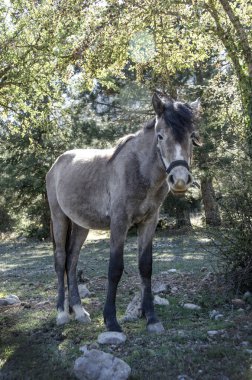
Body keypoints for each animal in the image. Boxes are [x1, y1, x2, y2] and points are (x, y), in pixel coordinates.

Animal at [46, 92, 201, 332]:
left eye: (192, 136)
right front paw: (111, 320)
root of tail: (56, 164)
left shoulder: (149, 222)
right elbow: (115, 269)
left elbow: (146, 267)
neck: (139, 169)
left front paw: (152, 318)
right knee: (61, 259)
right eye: (160, 136)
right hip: (59, 218)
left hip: (81, 225)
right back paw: (62, 313)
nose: (180, 180)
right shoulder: (119, 224)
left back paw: (79, 311)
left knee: (71, 262)